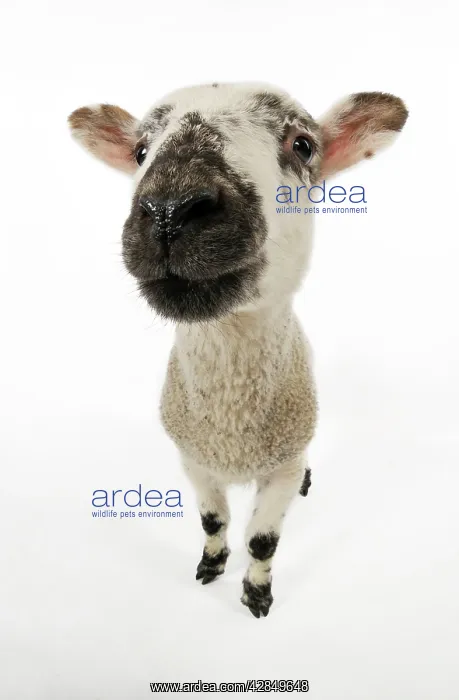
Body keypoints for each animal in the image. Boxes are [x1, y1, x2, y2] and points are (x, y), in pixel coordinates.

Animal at [68, 83, 408, 617]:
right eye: (140, 151)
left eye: (302, 145)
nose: (170, 210)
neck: (232, 428)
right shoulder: (194, 461)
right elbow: (213, 522)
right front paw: (210, 567)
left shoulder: (282, 468)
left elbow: (262, 542)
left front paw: (256, 594)